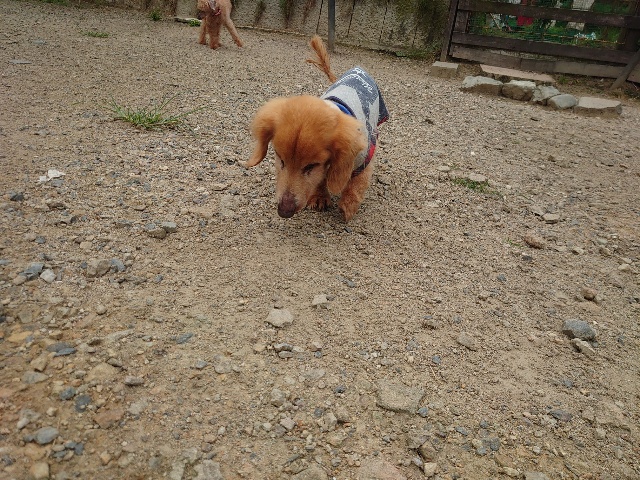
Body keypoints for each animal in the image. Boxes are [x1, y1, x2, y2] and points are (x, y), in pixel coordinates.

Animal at [246, 35, 388, 221]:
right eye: (280, 159)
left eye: (311, 166)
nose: (284, 211)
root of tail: (358, 69)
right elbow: (321, 179)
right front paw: (319, 197)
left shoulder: (363, 158)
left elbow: (357, 184)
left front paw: (348, 206)